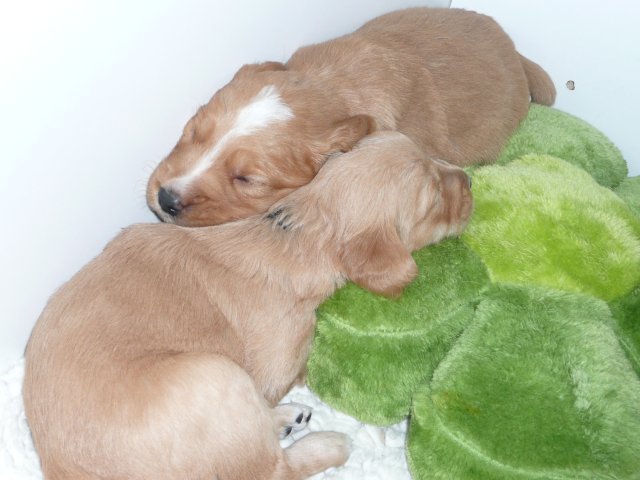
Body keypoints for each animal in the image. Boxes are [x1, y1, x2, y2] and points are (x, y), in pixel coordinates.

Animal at [24, 132, 473, 480]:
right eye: (434, 197)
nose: (469, 178)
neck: (298, 229)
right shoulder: (279, 359)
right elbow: (293, 374)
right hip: (216, 375)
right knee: (269, 469)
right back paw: (327, 443)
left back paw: (287, 419)